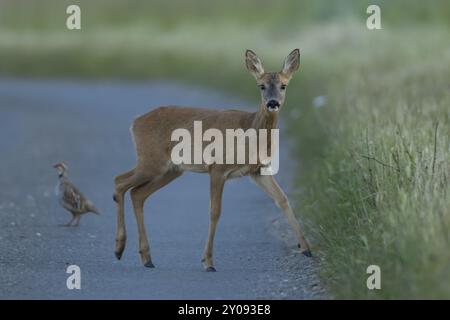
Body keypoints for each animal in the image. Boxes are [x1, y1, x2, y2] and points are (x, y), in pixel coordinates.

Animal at [113, 48, 310, 272]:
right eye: (261, 86)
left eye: (283, 85)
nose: (272, 103)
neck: (249, 130)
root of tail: (135, 122)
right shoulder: (217, 167)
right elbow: (214, 211)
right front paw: (208, 261)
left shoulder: (257, 170)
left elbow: (283, 199)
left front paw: (306, 248)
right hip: (151, 161)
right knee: (119, 181)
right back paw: (119, 248)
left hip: (171, 170)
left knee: (137, 193)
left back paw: (146, 257)